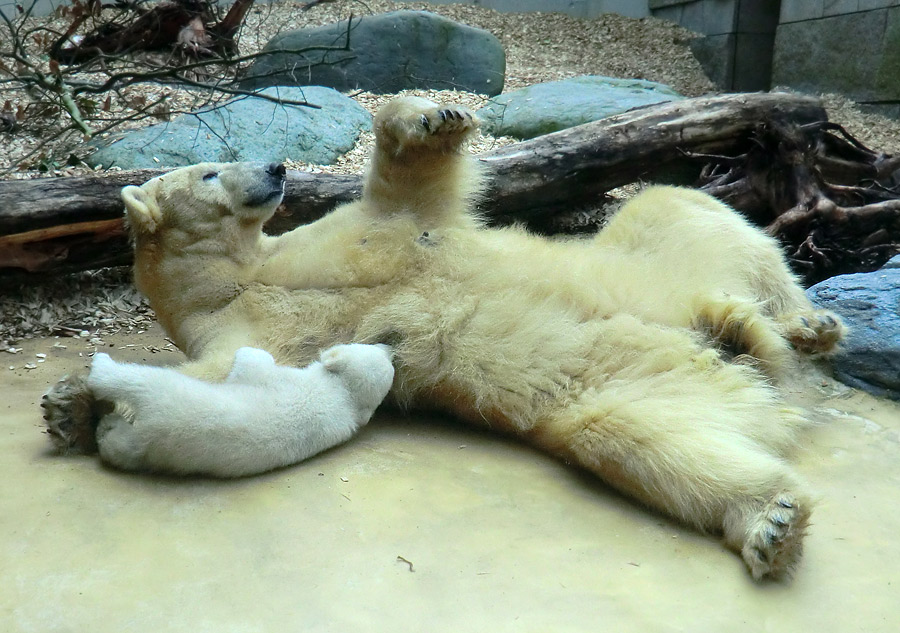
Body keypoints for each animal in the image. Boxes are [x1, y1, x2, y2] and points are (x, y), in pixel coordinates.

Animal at [44, 97, 844, 576]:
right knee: (645, 441)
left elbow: (407, 193)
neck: (243, 275)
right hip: (626, 384)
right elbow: (220, 383)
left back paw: (806, 323)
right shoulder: (244, 333)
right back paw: (770, 519)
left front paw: (436, 116)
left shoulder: (352, 237)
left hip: (660, 254)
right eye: (210, 170)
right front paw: (70, 404)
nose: (274, 168)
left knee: (680, 208)